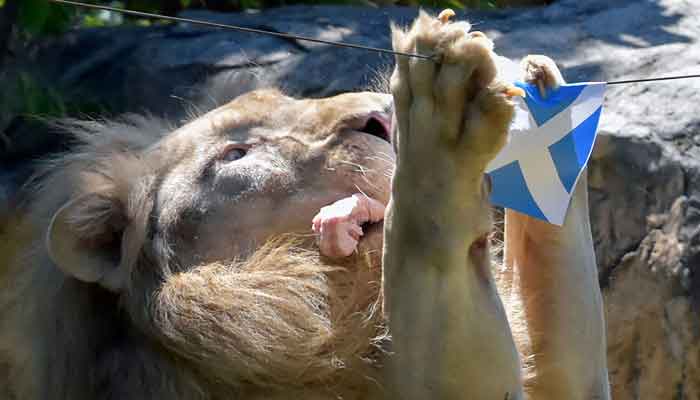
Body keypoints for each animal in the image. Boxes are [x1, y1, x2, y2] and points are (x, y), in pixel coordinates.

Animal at [0, 10, 608, 398]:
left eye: (291, 99)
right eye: (236, 154)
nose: (380, 118)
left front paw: (545, 99)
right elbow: (430, 245)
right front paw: (440, 113)